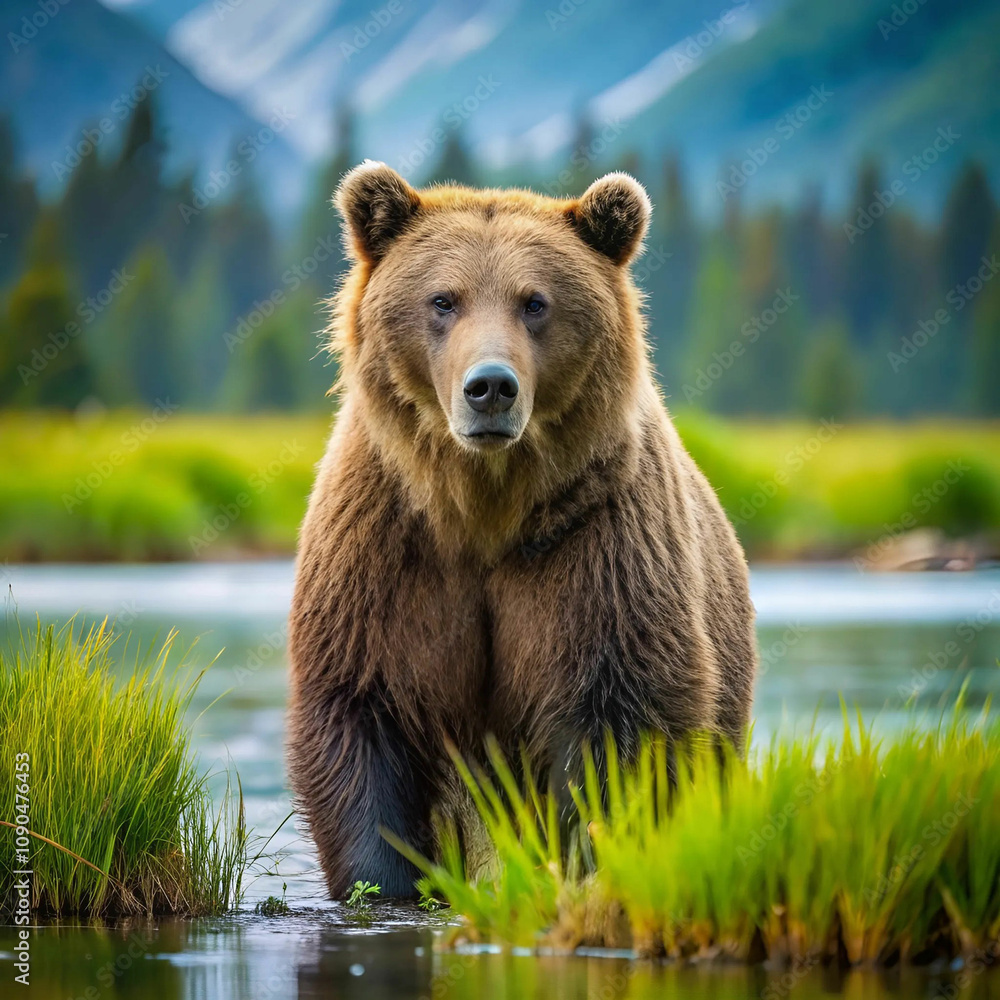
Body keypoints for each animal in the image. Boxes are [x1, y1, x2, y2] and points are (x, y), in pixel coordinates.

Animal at [286, 161, 757, 899]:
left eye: (535, 302)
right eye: (443, 300)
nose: (490, 387)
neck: (484, 509)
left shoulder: (598, 546)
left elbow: (616, 732)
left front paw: (587, 866)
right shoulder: (385, 548)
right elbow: (364, 716)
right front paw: (381, 882)